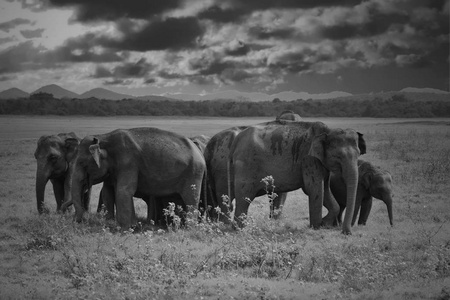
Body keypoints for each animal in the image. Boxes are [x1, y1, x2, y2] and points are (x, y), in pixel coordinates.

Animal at [61, 127, 206, 229]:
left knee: (191, 199)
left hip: (193, 173)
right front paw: (114, 224)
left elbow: (123, 191)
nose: (80, 220)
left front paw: (125, 229)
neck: (104, 137)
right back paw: (176, 226)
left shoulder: (128, 162)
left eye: (82, 163)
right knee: (177, 199)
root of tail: (199, 151)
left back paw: (188, 227)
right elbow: (108, 192)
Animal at [229, 120, 366, 236]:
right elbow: (313, 188)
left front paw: (324, 223)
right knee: (244, 196)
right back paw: (239, 230)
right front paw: (316, 227)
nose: (346, 233)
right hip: (246, 165)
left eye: (359, 154)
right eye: (338, 156)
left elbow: (325, 189)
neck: (328, 131)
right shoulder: (309, 159)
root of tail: (237, 140)